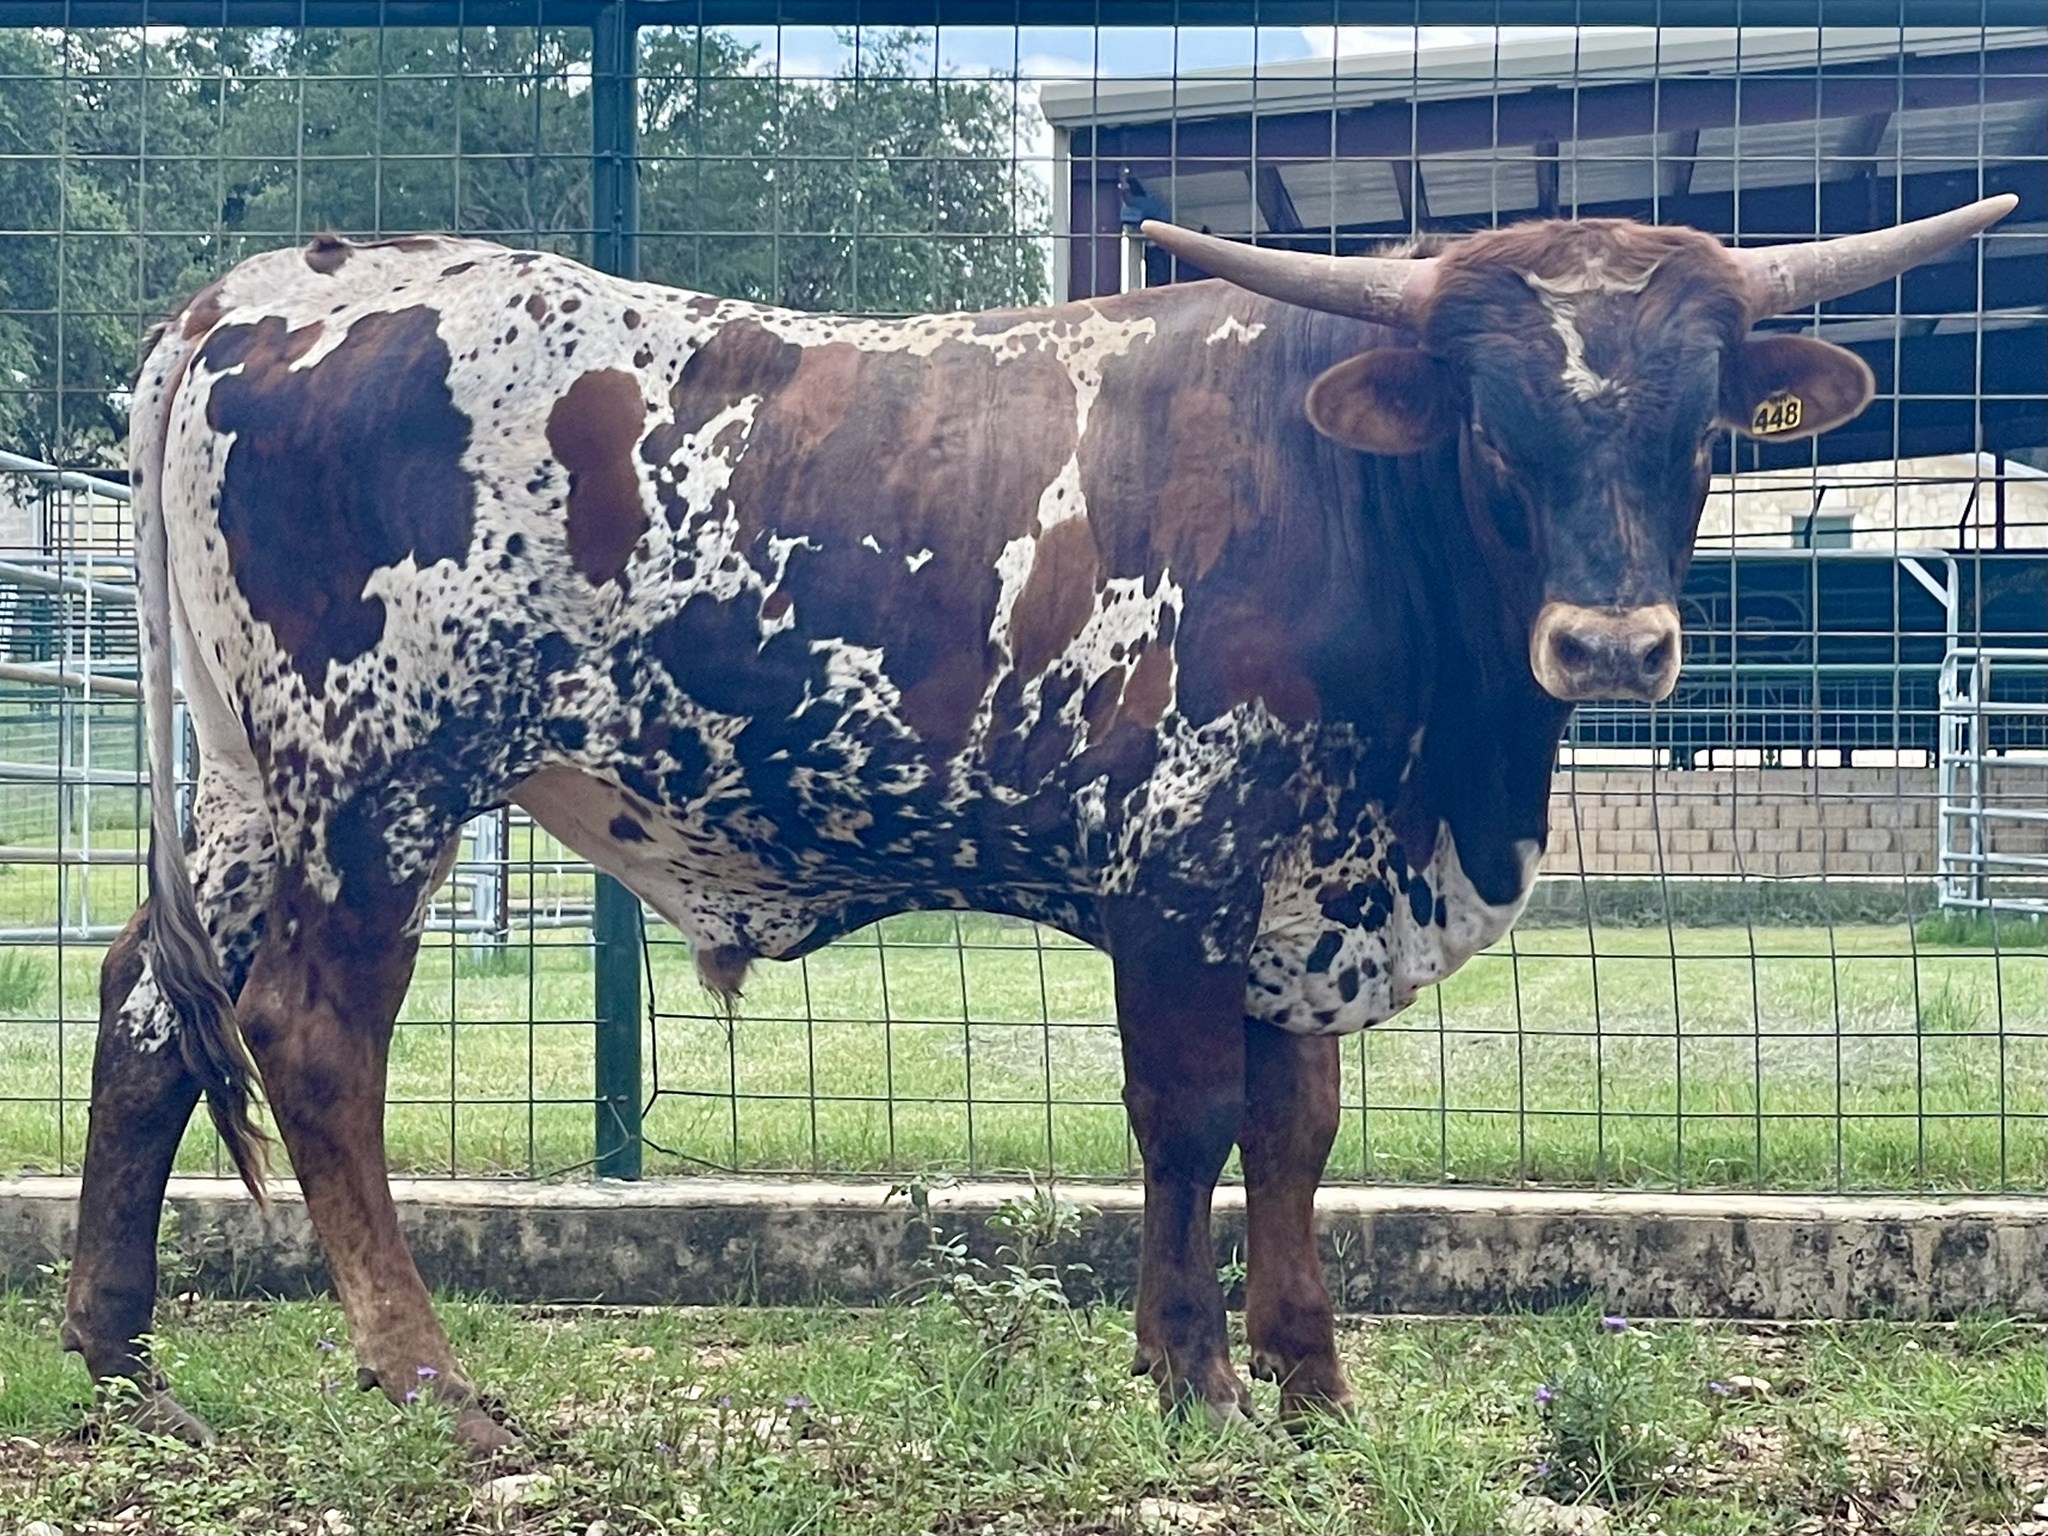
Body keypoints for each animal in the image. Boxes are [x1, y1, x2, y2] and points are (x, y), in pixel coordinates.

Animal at [61, 194, 2013, 1452]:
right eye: (1493, 430)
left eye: (1699, 430)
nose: (1611, 647)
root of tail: (262, 290)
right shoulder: (1184, 859)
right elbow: (1193, 1118)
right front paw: (1196, 1381)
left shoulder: (1306, 890)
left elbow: (1299, 1129)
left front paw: (1314, 1386)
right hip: (376, 779)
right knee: (313, 1041)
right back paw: (423, 1375)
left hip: (245, 788)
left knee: (147, 1008)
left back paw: (117, 1356)